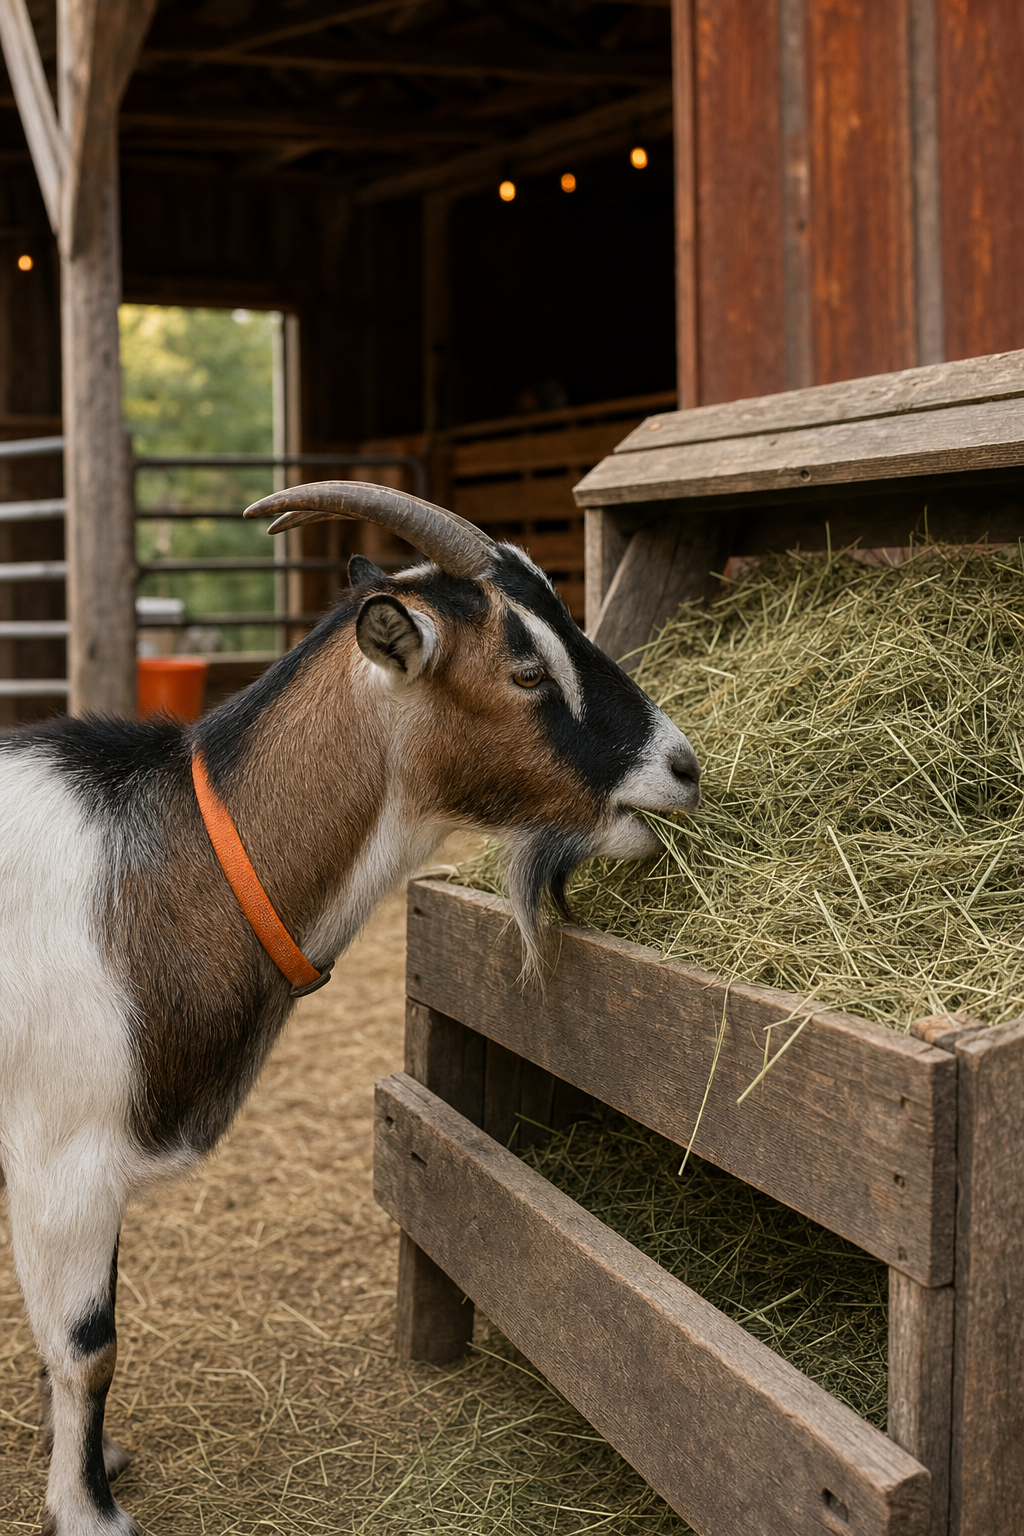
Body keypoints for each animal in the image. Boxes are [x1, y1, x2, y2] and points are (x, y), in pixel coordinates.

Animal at [0, 483, 700, 1536]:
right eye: (526, 668)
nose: (683, 767)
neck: (160, 874)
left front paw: (97, 1464)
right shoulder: (63, 1155)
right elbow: (87, 1345)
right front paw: (88, 1510)